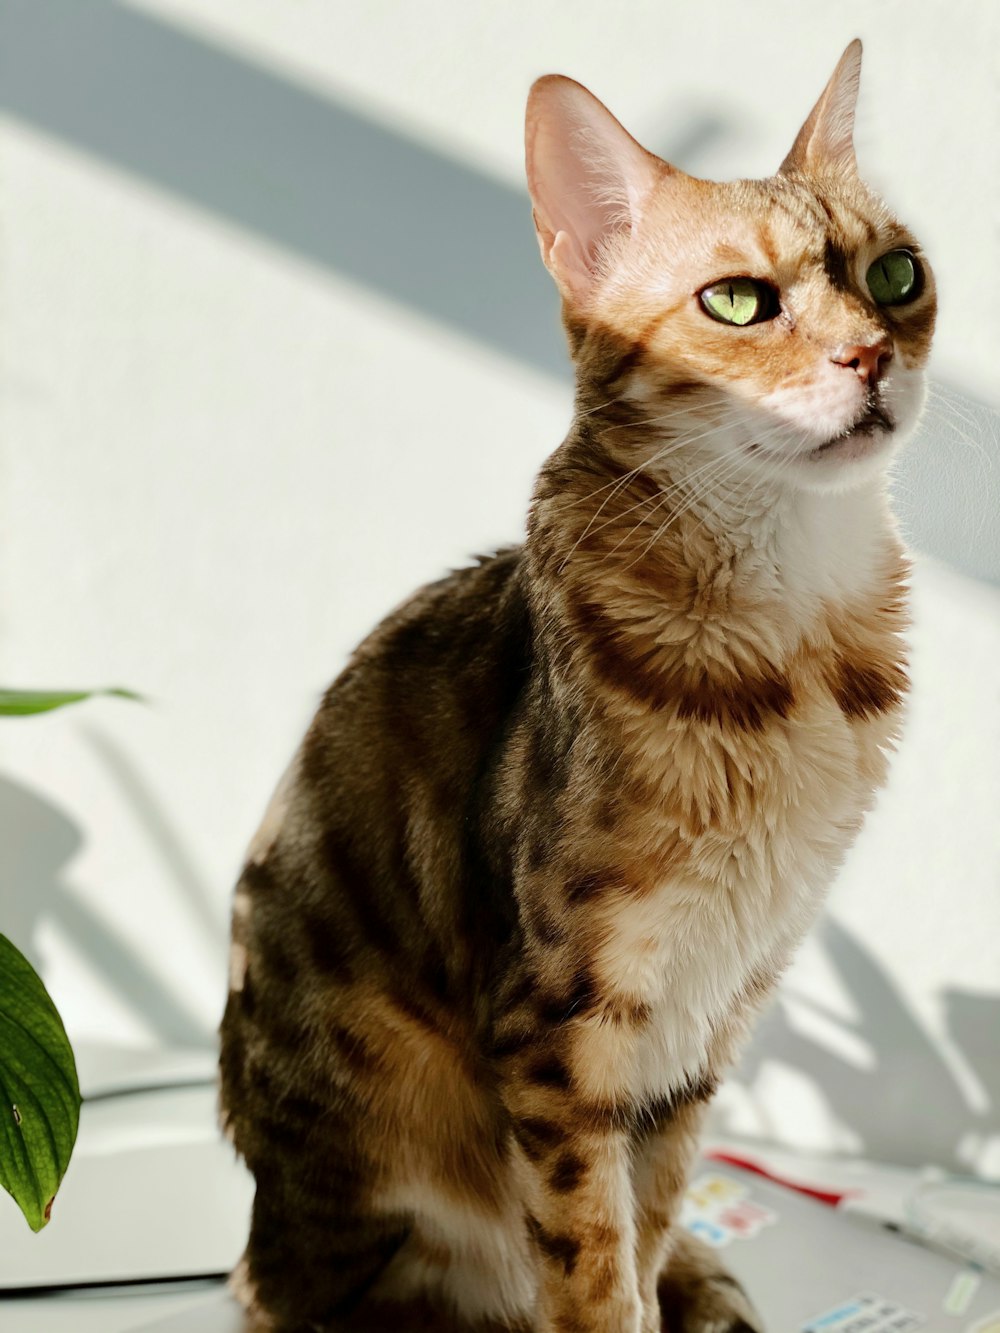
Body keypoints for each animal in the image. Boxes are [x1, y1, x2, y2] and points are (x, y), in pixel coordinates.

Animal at [218, 41, 938, 1333]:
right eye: (738, 300)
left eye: (895, 274)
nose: (870, 354)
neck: (795, 647)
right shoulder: (564, 1018)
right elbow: (592, 1263)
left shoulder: (713, 1012)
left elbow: (646, 1227)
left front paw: (666, 1280)